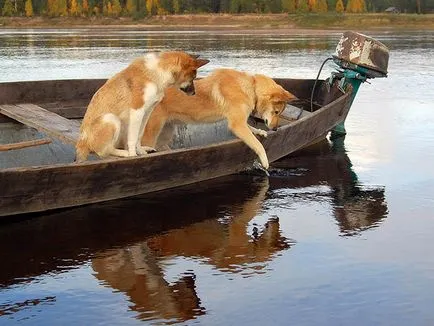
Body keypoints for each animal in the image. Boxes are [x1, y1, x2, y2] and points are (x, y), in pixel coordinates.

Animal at [75, 51, 209, 162]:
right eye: (193, 77)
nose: (194, 93)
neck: (158, 73)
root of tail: (81, 144)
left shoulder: (147, 111)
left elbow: (139, 135)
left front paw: (140, 151)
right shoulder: (137, 111)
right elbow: (133, 138)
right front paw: (133, 155)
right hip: (111, 119)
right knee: (103, 152)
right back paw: (125, 153)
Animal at [141, 68, 296, 169]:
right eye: (276, 112)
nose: (275, 129)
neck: (252, 87)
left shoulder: (236, 120)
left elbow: (250, 127)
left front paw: (259, 131)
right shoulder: (237, 124)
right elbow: (258, 145)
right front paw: (264, 160)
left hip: (166, 132)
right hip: (151, 132)